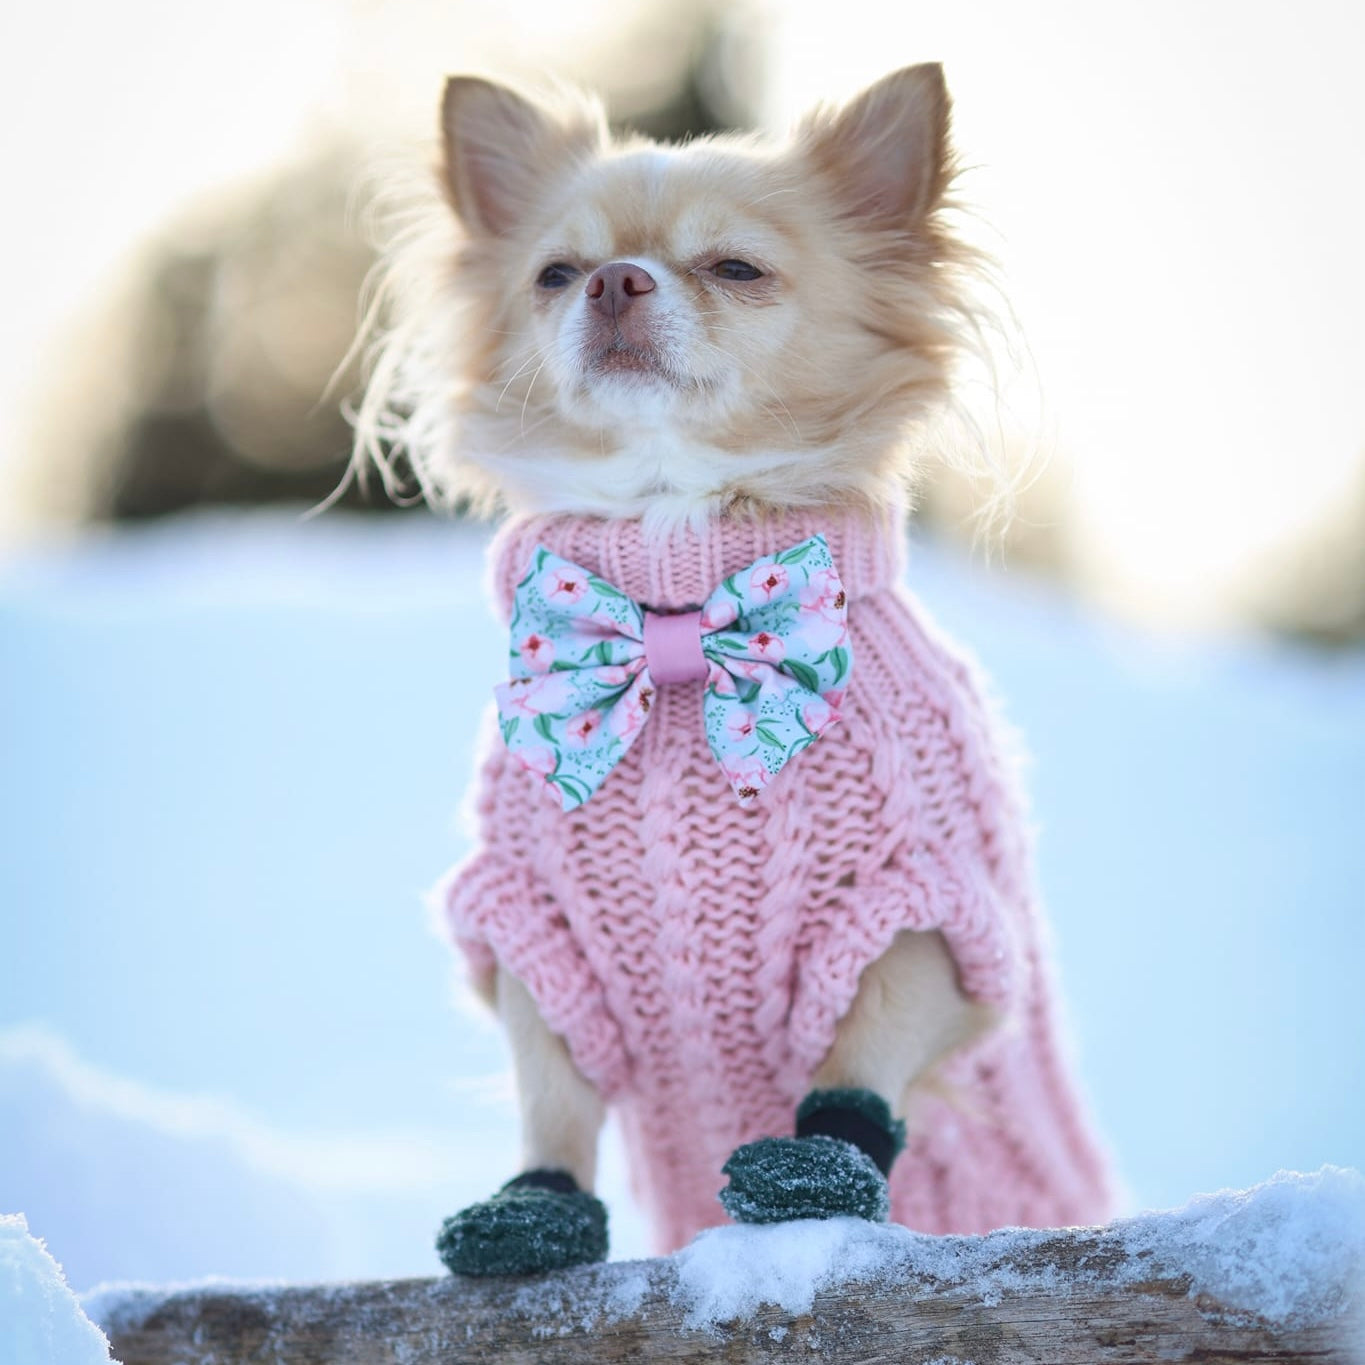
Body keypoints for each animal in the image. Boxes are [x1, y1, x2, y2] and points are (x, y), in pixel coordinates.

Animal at [346, 66, 1113, 1277]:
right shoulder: (528, 926)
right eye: (553, 273)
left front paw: (816, 1168)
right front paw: (530, 1209)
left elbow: (863, 1042)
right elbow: (551, 1088)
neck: (673, 602)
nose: (612, 279)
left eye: (737, 268)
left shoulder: (930, 911)